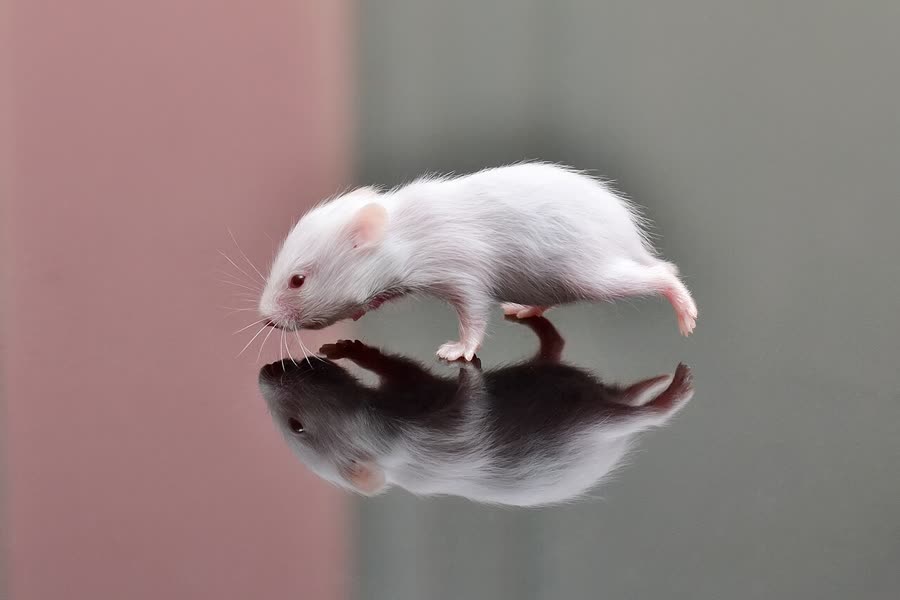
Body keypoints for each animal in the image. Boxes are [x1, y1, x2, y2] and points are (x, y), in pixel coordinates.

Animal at [258, 317, 694, 507]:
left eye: (296, 426)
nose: (264, 374)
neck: (390, 458)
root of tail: (611, 440)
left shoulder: (417, 408)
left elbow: (398, 368)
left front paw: (350, 348)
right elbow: (396, 370)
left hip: (589, 422)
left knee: (639, 415)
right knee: (556, 348)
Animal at [259, 162, 698, 361]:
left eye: (297, 280)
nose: (264, 317)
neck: (399, 232)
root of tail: (629, 236)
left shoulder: (462, 271)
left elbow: (472, 312)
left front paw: (458, 350)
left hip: (591, 273)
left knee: (663, 272)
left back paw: (684, 311)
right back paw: (526, 308)